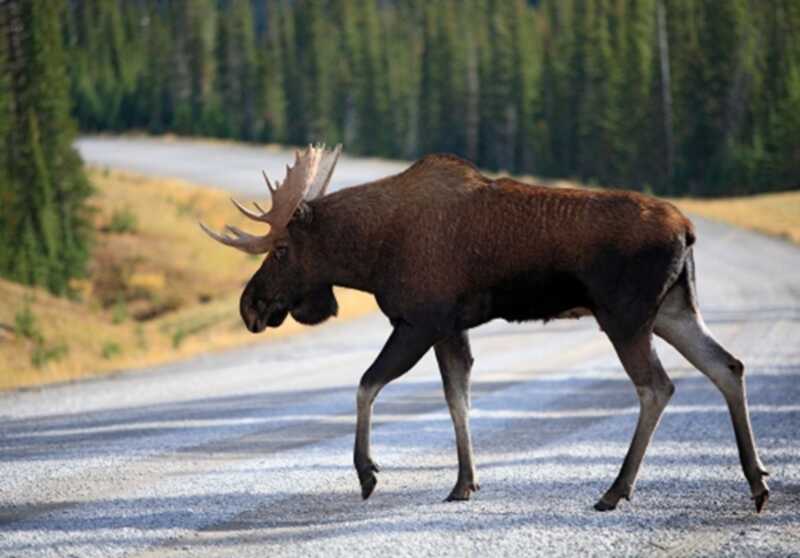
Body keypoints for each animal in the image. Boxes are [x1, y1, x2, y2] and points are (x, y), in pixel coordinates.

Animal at [200, 147, 768, 516]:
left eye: (279, 250)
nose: (250, 306)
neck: (369, 255)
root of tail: (687, 229)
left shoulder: (420, 320)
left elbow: (366, 384)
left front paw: (367, 473)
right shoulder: (451, 328)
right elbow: (458, 398)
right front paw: (464, 483)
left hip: (624, 317)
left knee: (657, 386)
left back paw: (615, 490)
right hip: (673, 311)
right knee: (728, 365)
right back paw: (757, 481)